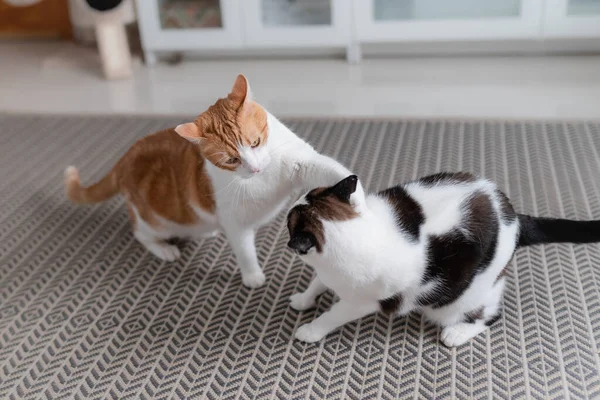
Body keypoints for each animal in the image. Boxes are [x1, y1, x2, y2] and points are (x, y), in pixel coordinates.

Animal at [64, 74, 352, 288]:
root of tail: (125, 156)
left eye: (255, 142)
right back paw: (164, 249)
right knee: (139, 233)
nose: (256, 168)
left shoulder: (300, 163)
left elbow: (329, 170)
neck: (265, 178)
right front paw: (253, 277)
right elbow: (245, 251)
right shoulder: (235, 223)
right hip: (155, 222)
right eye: (232, 160)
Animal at [284, 173, 600, 346]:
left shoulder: (361, 303)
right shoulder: (327, 273)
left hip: (456, 300)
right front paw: (303, 298)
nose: (292, 202)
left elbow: (332, 315)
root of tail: (515, 217)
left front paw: (310, 330)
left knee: (490, 314)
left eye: (288, 221)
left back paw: (457, 333)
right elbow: (317, 282)